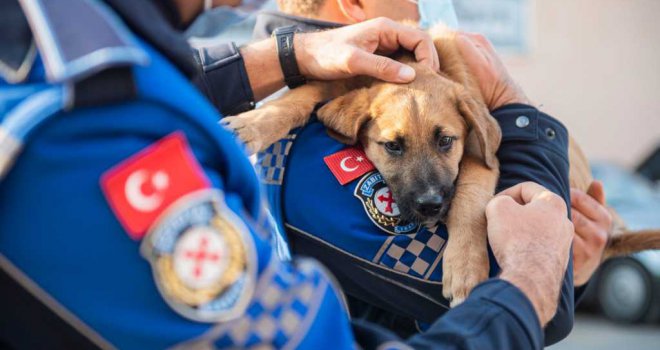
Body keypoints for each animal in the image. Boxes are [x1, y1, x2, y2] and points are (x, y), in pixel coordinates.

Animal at [223, 27, 660, 304]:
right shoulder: (346, 72)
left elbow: (470, 201)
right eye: (393, 146)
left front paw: (465, 266)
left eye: (446, 141)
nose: (431, 206)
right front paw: (253, 124)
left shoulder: (481, 156)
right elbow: (299, 96)